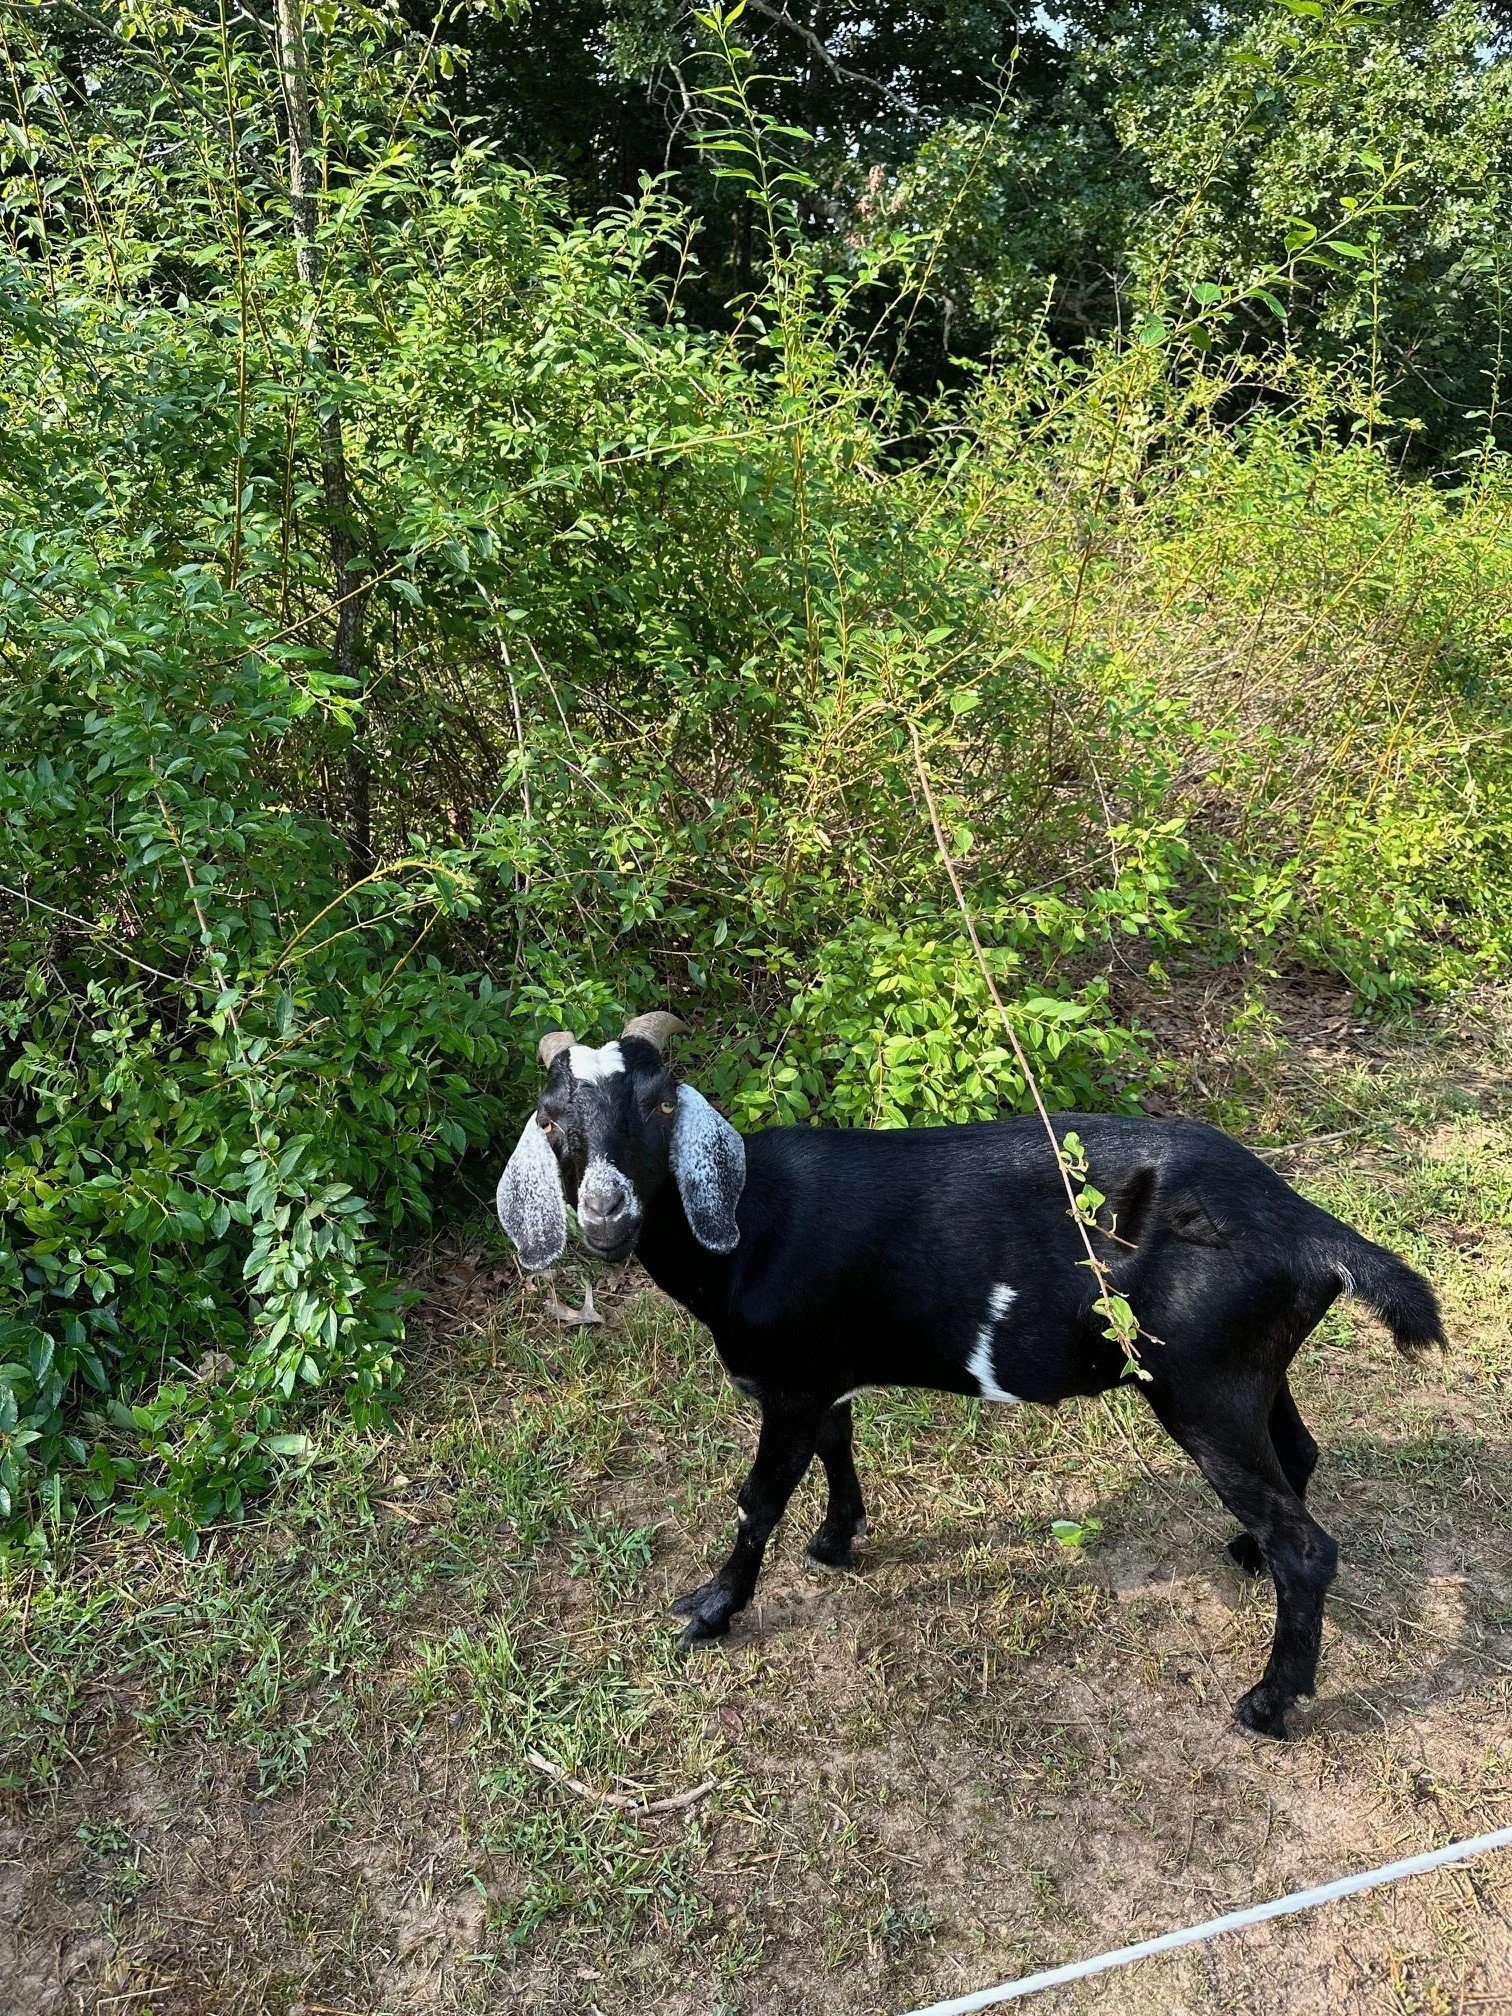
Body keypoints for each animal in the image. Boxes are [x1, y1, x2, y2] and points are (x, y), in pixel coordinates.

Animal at [496, 1013, 1444, 1739]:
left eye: (659, 1103)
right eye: (550, 1120)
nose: (606, 1214)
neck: (747, 1224)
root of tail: (1311, 1231)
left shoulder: (789, 1383)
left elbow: (758, 1498)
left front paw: (712, 1609)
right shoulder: (825, 1371)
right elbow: (839, 1447)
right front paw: (837, 1541)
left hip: (1202, 1385)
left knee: (1307, 1547)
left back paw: (1268, 1704)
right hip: (1248, 1370)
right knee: (1300, 1455)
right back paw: (1247, 1554)